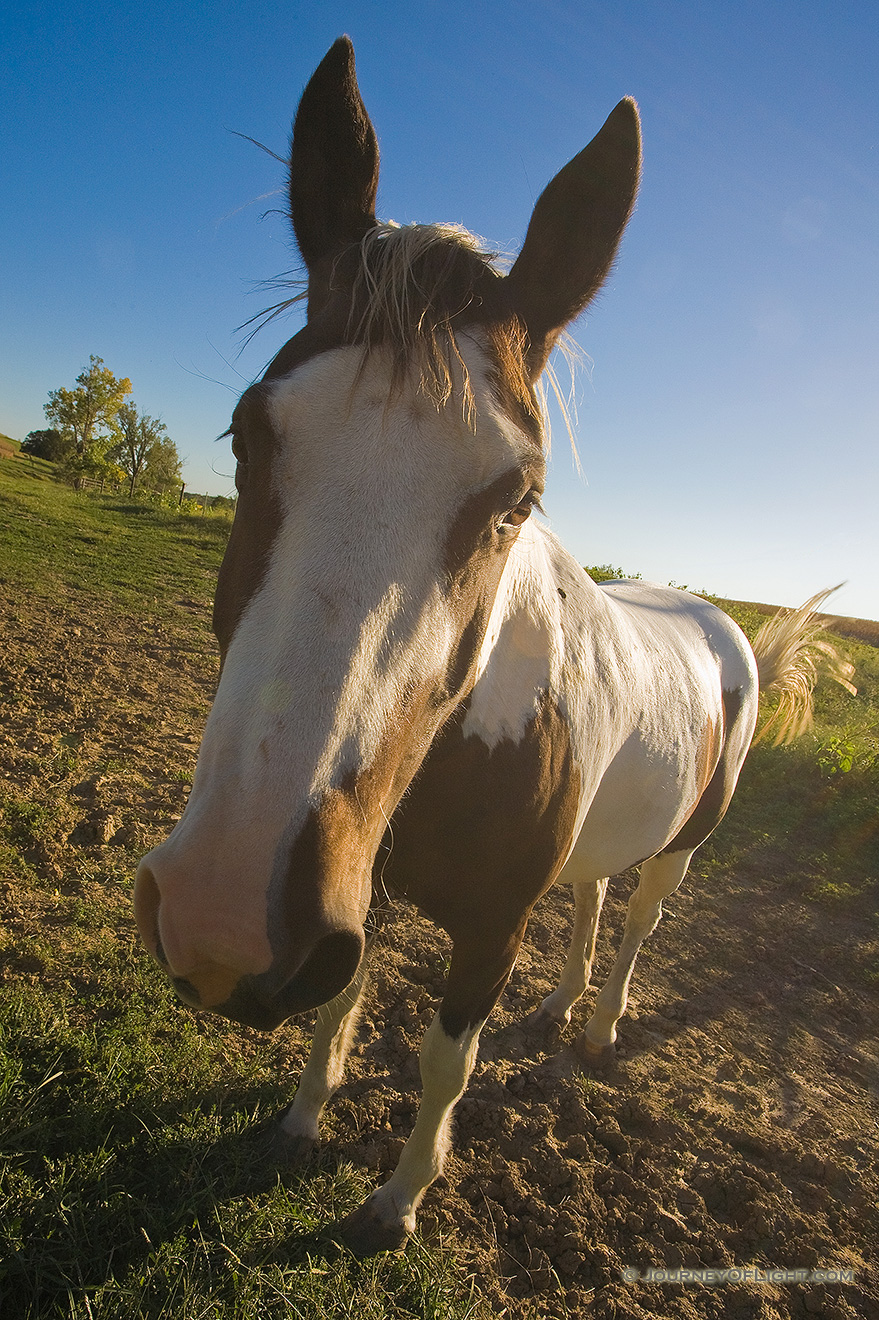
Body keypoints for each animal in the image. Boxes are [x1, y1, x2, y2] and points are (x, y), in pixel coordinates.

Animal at [133, 38, 849, 1256]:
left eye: (517, 499)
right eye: (246, 433)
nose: (226, 918)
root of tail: (719, 625)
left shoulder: (485, 927)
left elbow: (444, 1058)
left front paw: (399, 1199)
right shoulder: (349, 887)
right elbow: (340, 997)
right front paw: (302, 1118)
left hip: (686, 843)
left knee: (639, 919)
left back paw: (597, 1028)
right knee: (596, 898)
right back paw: (561, 1007)